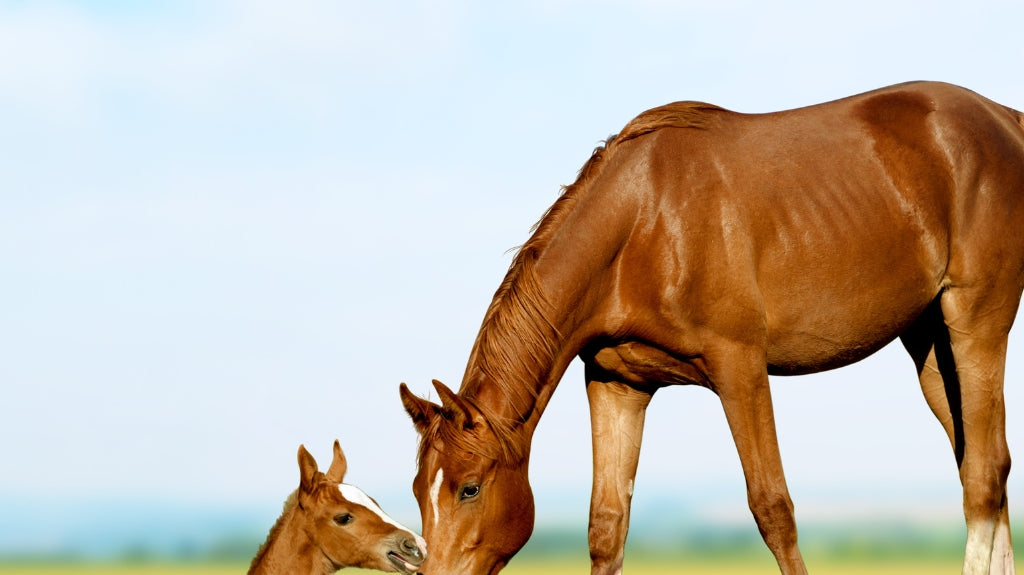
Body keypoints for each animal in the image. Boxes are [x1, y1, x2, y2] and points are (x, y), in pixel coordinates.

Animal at [398, 81, 1024, 575]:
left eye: (469, 488)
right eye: (416, 491)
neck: (642, 225)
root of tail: (1004, 119)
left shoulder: (739, 367)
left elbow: (773, 509)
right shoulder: (616, 386)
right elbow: (607, 525)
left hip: (976, 322)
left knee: (984, 476)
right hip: (931, 346)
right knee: (985, 474)